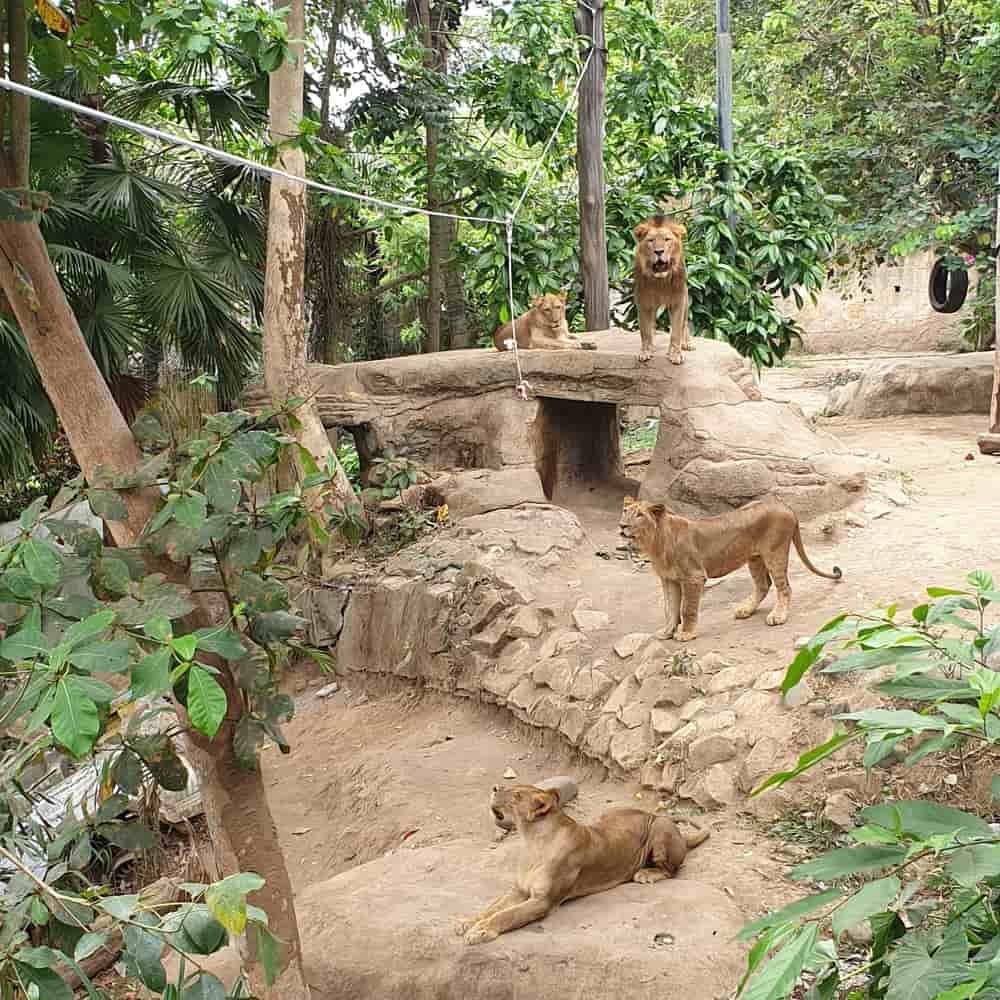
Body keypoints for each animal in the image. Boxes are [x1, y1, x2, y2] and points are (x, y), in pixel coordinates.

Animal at [458, 780, 708, 944]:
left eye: (517, 795)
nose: (494, 788)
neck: (532, 841)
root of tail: (681, 836)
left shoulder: (543, 901)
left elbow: (506, 915)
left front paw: (480, 932)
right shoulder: (519, 890)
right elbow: (492, 907)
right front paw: (468, 922)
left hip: (660, 825)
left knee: (671, 870)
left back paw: (646, 874)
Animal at [620, 492, 840, 640]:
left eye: (639, 515)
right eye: (625, 511)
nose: (622, 526)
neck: (655, 543)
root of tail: (784, 505)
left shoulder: (694, 577)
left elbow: (686, 608)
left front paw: (686, 633)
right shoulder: (669, 580)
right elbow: (670, 608)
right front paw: (667, 632)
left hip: (774, 552)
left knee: (784, 586)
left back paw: (778, 616)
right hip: (755, 557)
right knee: (763, 585)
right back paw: (745, 610)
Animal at [632, 213, 696, 366]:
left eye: (667, 240)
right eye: (651, 241)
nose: (659, 251)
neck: (660, 281)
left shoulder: (678, 301)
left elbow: (676, 332)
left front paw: (676, 354)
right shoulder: (644, 302)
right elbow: (645, 331)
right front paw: (645, 351)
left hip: (686, 299)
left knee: (685, 323)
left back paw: (687, 343)